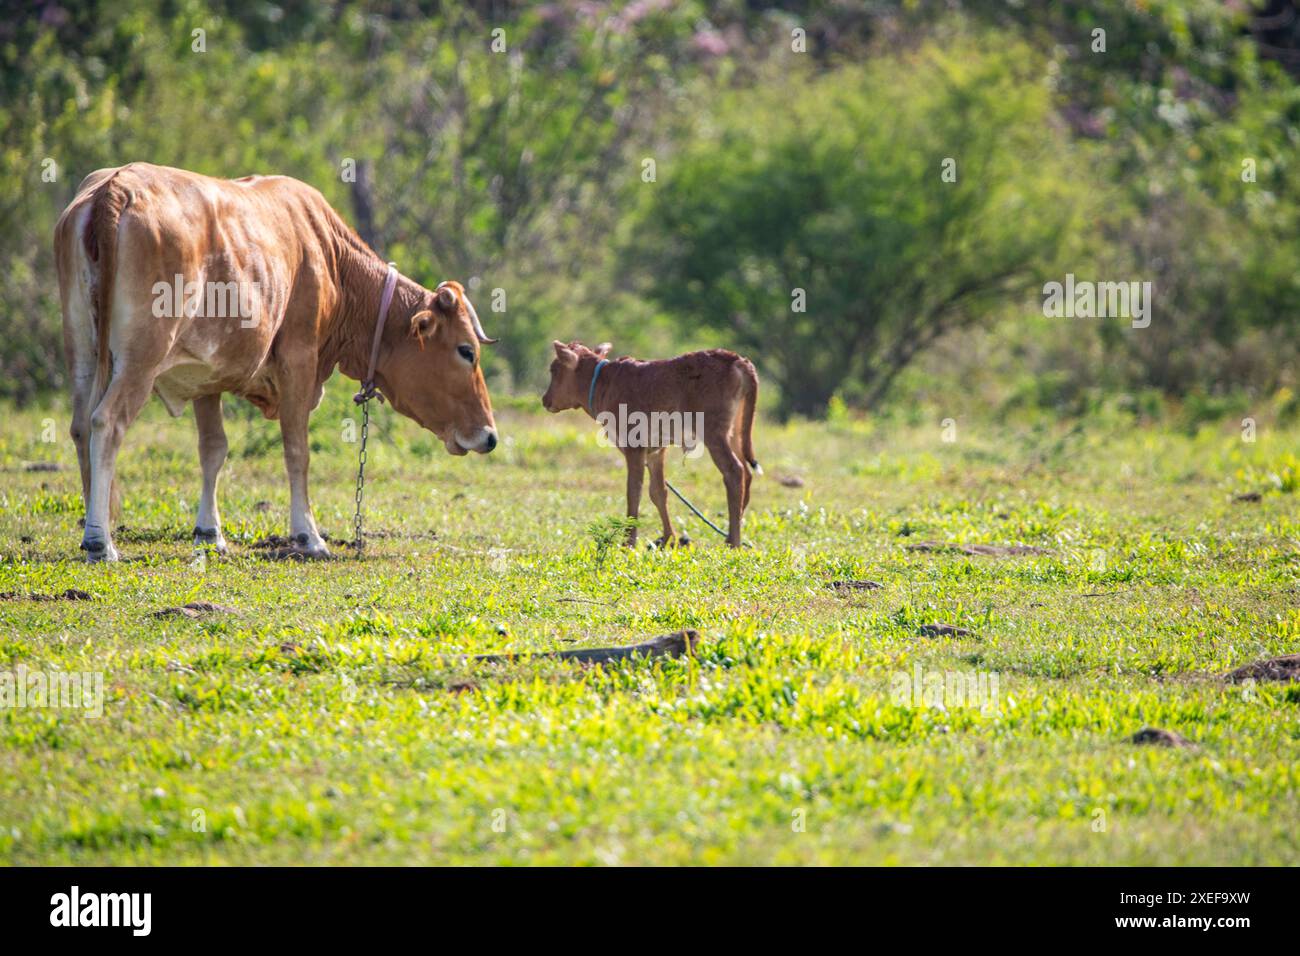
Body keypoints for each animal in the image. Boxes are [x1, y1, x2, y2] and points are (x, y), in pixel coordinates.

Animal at [53, 163, 496, 561]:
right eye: (466, 351)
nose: (490, 436)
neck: (329, 256)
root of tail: (116, 186)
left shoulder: (205, 373)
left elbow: (213, 449)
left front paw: (210, 533)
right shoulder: (299, 359)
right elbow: (297, 450)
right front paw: (308, 535)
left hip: (82, 351)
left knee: (81, 426)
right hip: (141, 359)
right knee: (106, 422)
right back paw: (100, 540)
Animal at [540, 343, 759, 548]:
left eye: (554, 369)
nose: (545, 399)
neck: (604, 383)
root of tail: (738, 360)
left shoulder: (633, 445)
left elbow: (633, 490)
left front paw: (628, 542)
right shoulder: (656, 449)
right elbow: (658, 491)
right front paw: (668, 538)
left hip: (713, 431)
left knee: (734, 471)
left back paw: (734, 541)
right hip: (735, 431)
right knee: (747, 473)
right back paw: (733, 530)